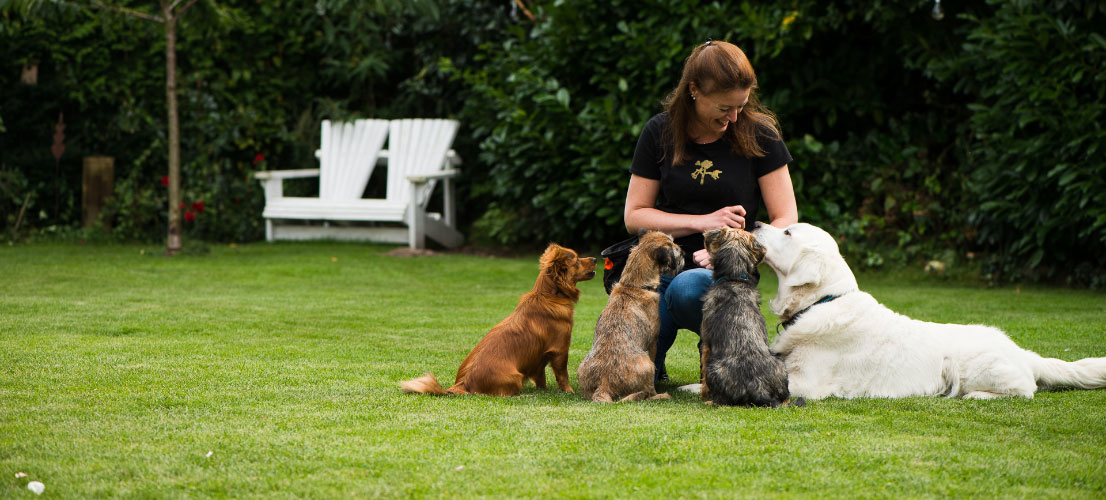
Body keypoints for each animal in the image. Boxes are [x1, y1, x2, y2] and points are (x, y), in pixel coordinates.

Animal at [402, 244, 597, 396]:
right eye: (577, 260)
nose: (595, 257)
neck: (550, 295)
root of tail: (462, 384)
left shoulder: (539, 357)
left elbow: (540, 376)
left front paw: (543, 390)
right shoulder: (560, 349)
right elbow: (562, 375)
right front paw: (569, 391)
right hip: (515, 377)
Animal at [579, 231, 681, 402]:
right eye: (674, 247)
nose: (684, 252)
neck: (634, 285)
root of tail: (604, 382)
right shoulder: (653, 341)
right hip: (647, 365)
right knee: (646, 391)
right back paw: (658, 395)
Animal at [752, 221, 1106, 398]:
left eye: (787, 232)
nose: (754, 221)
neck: (823, 301)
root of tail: (1023, 353)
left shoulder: (807, 382)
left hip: (971, 368)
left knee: (1025, 390)